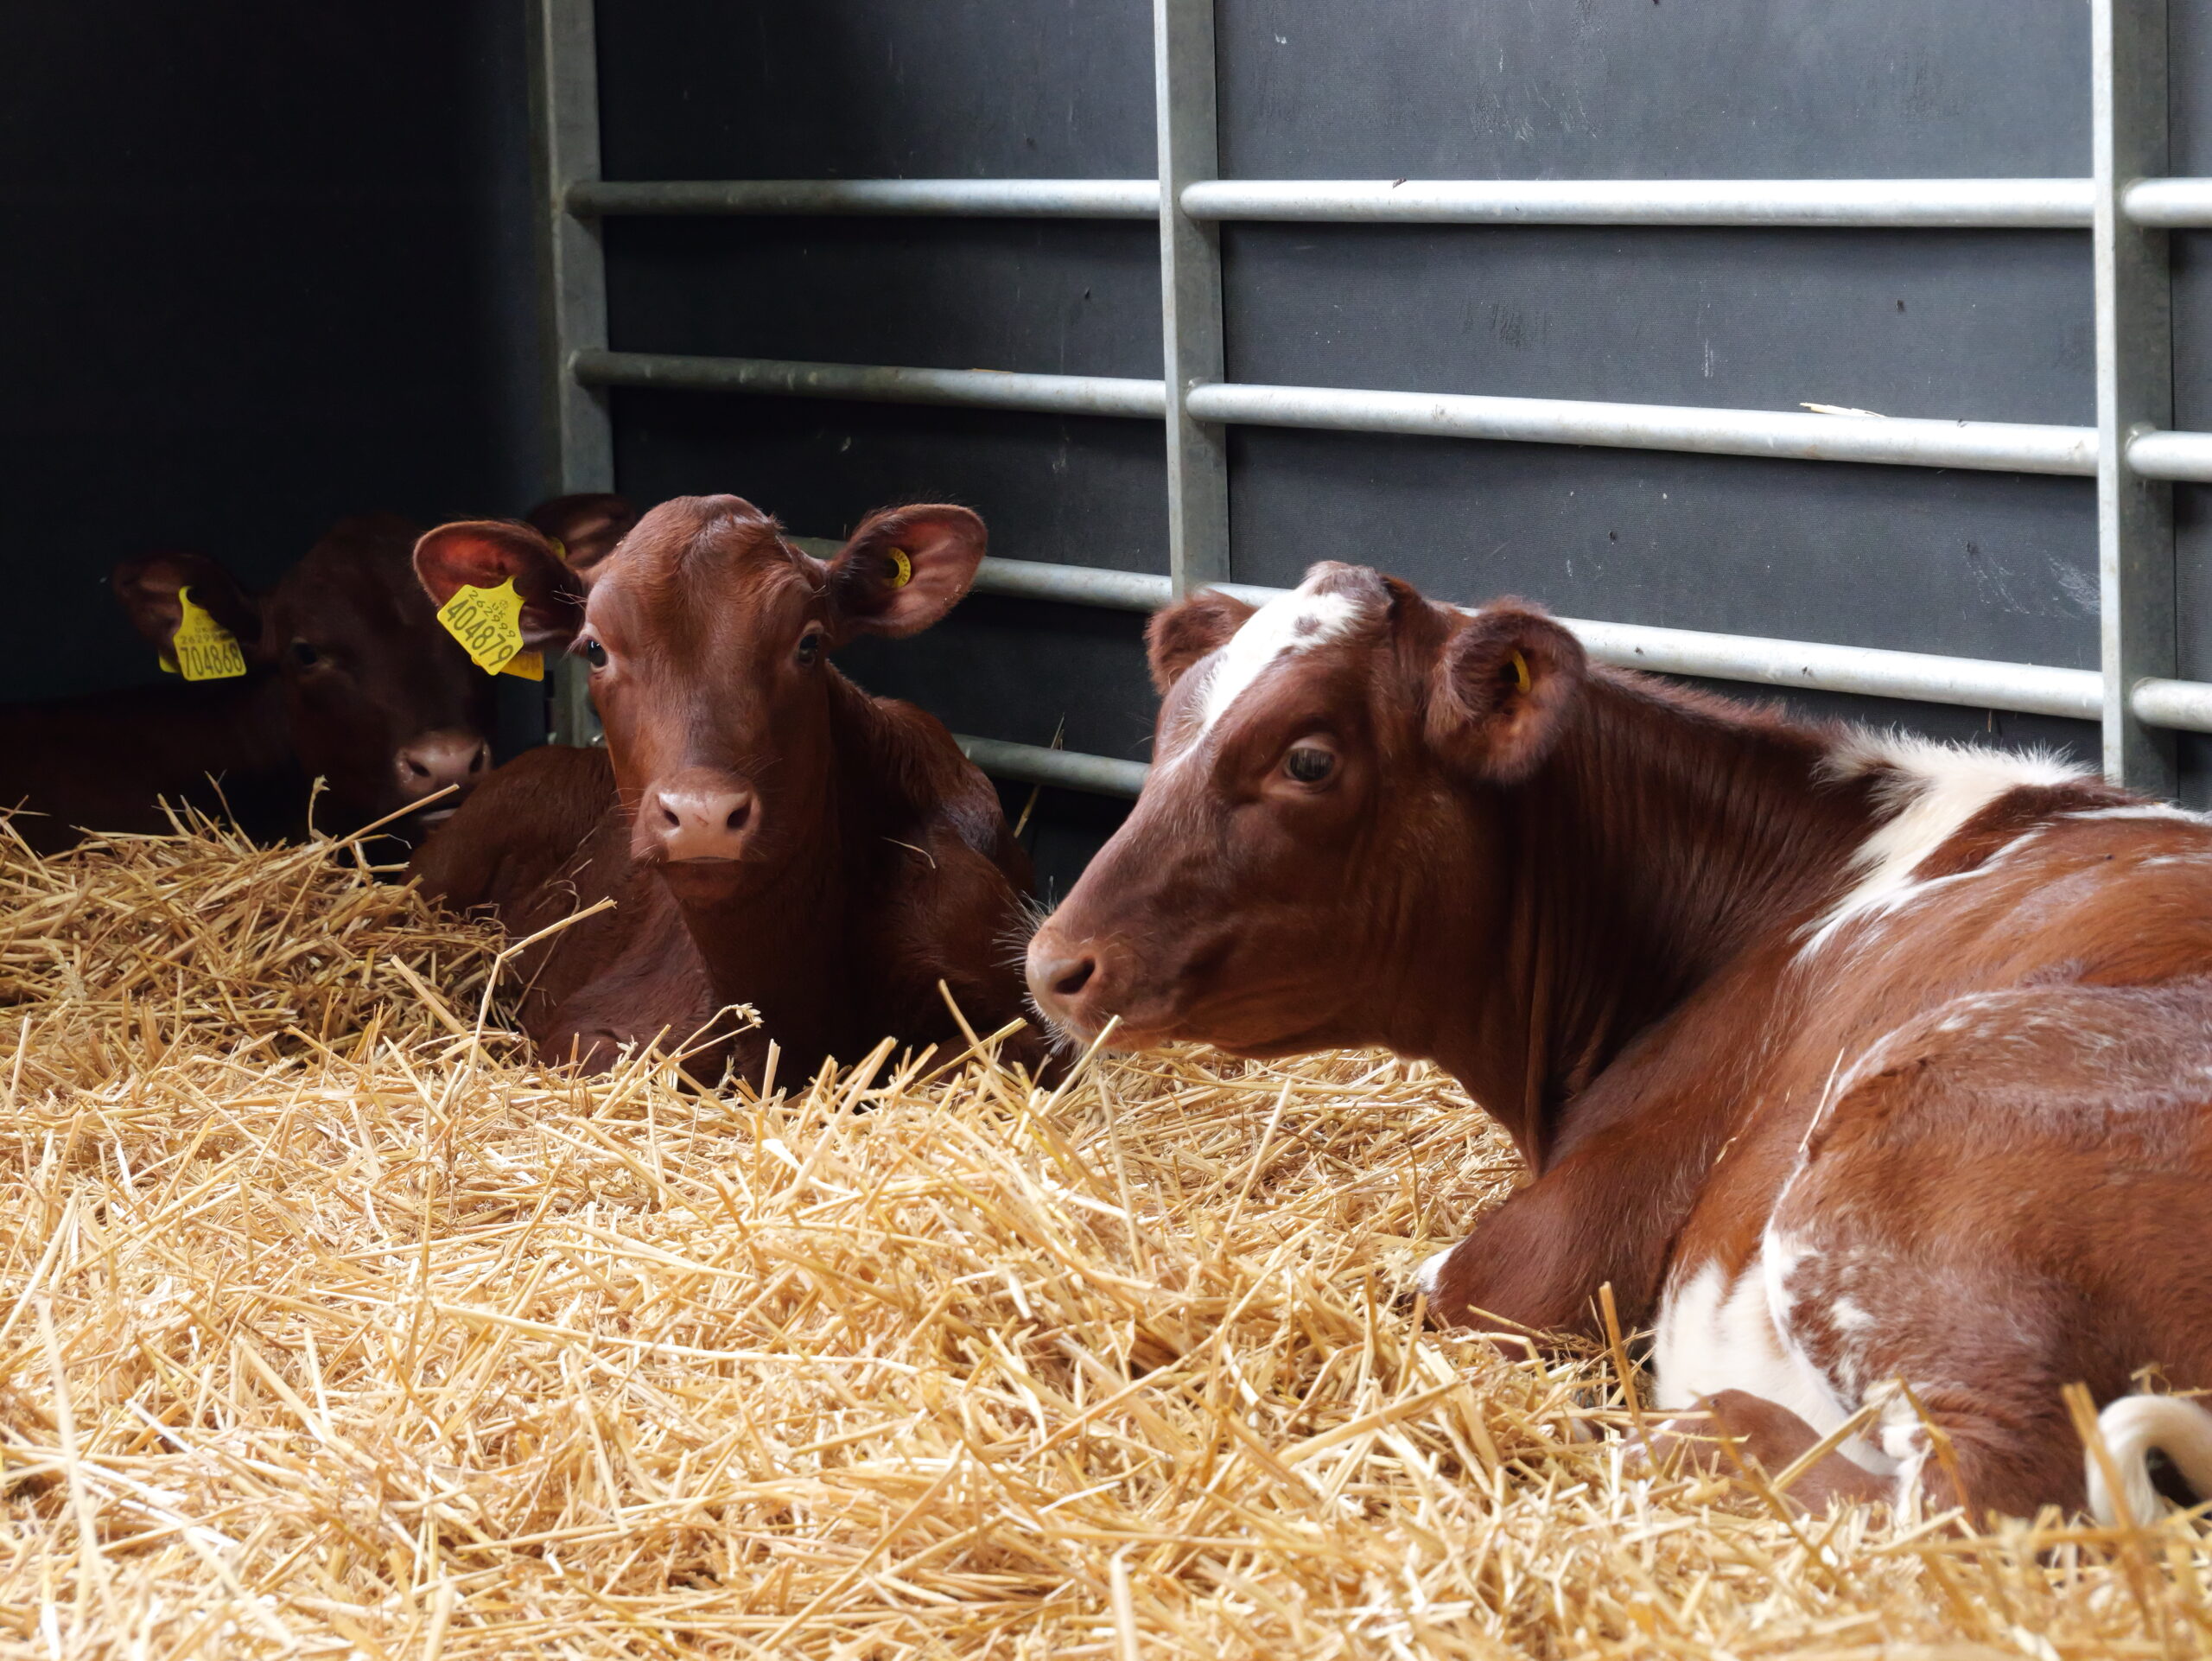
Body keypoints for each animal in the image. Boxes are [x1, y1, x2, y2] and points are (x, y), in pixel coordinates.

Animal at [1024, 559, 2212, 1524]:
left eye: (1308, 759)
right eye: (1166, 734)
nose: (1054, 961)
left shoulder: (1548, 1254)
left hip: (1907, 1138)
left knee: (1993, 1487)